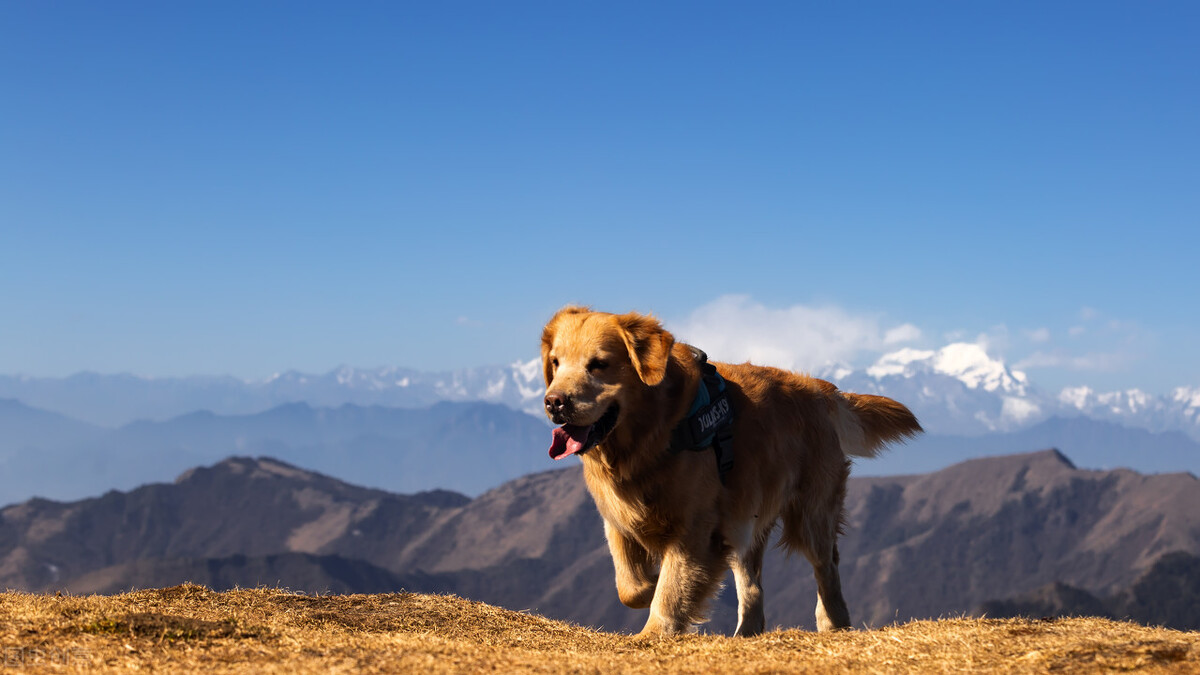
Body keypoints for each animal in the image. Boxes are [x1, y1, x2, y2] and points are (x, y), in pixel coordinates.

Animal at [540, 307, 921, 634]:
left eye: (599, 365)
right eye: (555, 363)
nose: (554, 402)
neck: (653, 434)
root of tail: (818, 388)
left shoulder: (695, 528)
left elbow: (671, 589)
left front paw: (654, 630)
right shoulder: (617, 517)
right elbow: (629, 587)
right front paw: (648, 587)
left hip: (811, 514)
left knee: (827, 568)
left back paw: (834, 624)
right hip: (744, 520)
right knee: (753, 587)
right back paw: (746, 632)